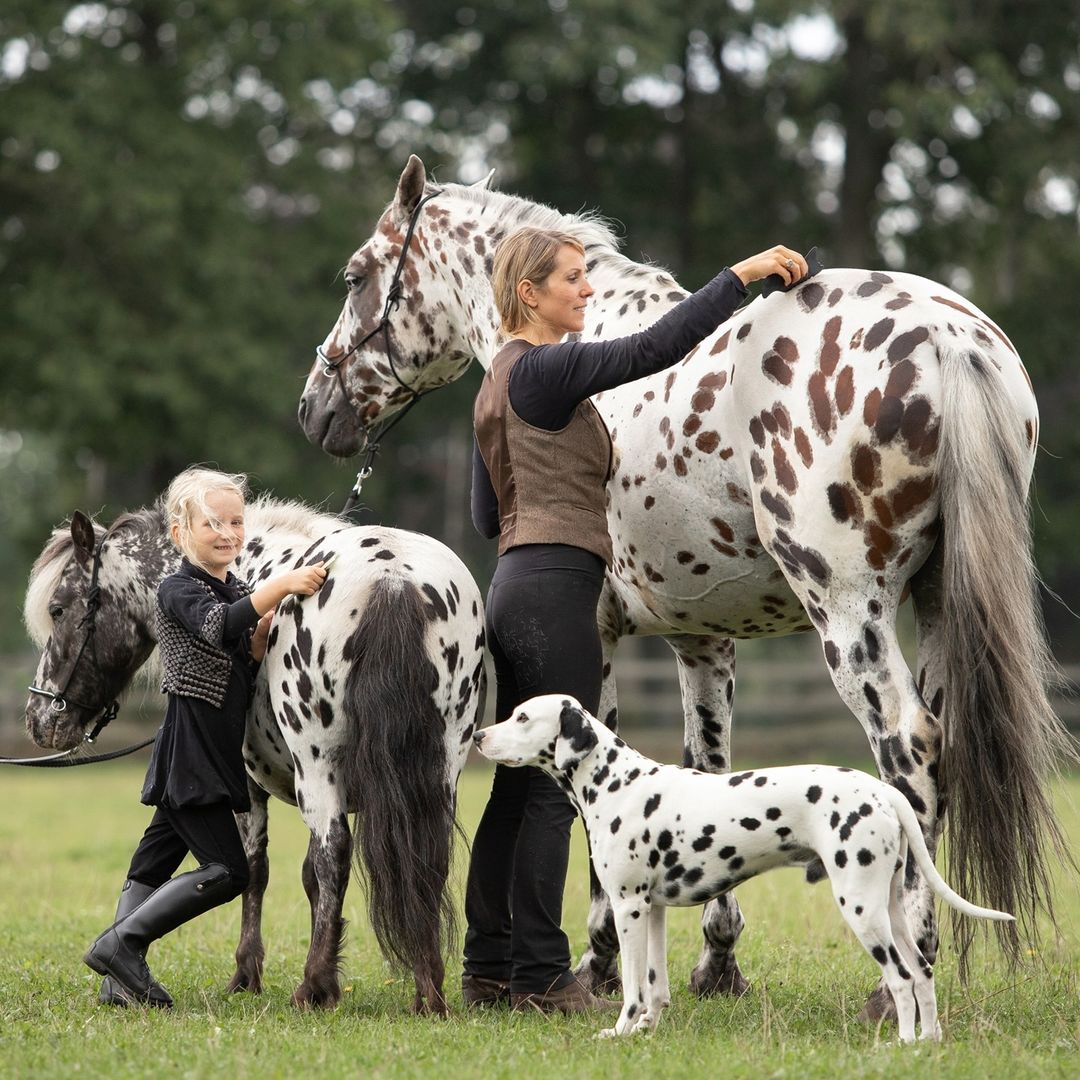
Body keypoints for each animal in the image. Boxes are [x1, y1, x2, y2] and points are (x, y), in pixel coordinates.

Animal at [473, 695, 1010, 1041]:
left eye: (522, 716)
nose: (478, 734)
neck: (617, 783)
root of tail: (883, 791)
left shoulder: (627, 908)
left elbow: (632, 986)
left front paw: (622, 1029)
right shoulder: (653, 910)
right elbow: (656, 985)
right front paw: (646, 1030)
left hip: (861, 908)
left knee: (900, 977)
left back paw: (903, 1043)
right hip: (891, 906)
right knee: (921, 971)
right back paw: (929, 1040)